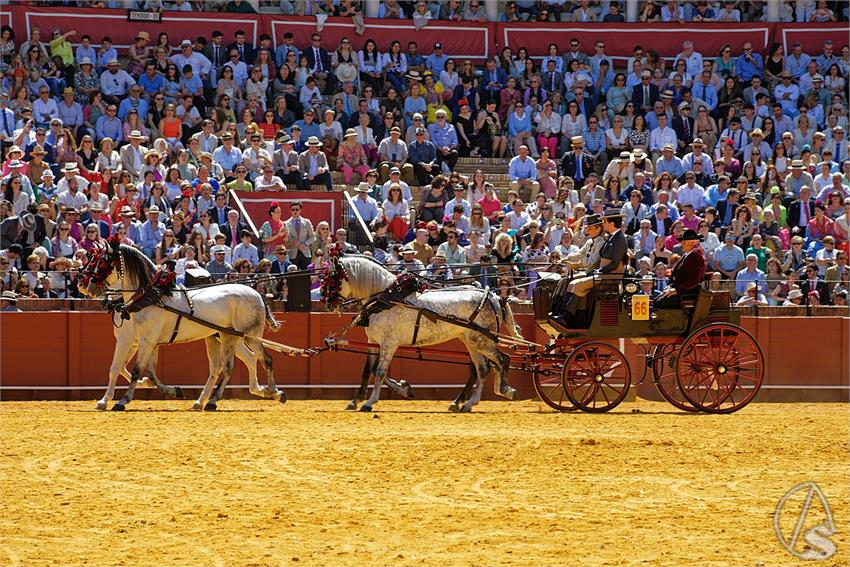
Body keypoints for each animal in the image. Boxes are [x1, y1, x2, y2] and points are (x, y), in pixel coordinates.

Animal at [79, 241, 284, 412]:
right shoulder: (137, 341)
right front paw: (104, 401)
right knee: (228, 365)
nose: (84, 285)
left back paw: (272, 391)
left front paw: (122, 401)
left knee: (262, 360)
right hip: (225, 337)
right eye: (92, 260)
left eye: (103, 262)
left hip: (249, 336)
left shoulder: (143, 341)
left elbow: (136, 370)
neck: (149, 296)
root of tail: (257, 293)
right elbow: (123, 368)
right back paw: (208, 400)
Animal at [326, 256, 520, 412]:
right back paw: (467, 404)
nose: (327, 302)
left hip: (482, 341)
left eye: (333, 278)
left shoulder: (389, 343)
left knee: (503, 359)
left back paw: (505, 389)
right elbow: (368, 371)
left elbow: (380, 372)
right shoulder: (373, 341)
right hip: (472, 342)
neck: (387, 298)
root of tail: (494, 297)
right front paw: (357, 400)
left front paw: (370, 402)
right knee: (482, 370)